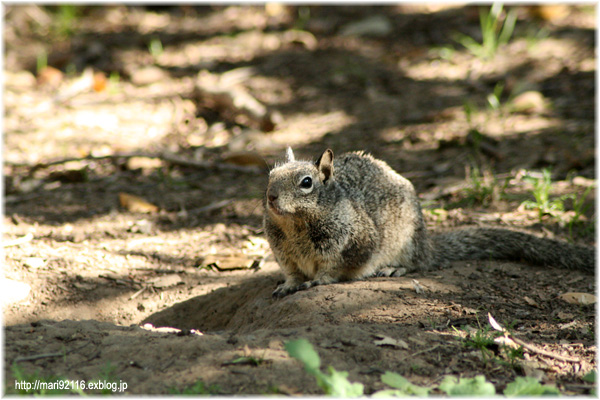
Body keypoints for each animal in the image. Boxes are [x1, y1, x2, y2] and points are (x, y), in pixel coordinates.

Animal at [264, 147, 596, 296]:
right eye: (270, 175)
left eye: (306, 182)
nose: (270, 197)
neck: (295, 227)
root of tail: (426, 243)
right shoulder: (285, 255)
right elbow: (292, 273)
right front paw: (288, 285)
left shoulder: (353, 243)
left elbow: (334, 270)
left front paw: (317, 280)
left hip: (407, 245)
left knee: (419, 264)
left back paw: (395, 268)